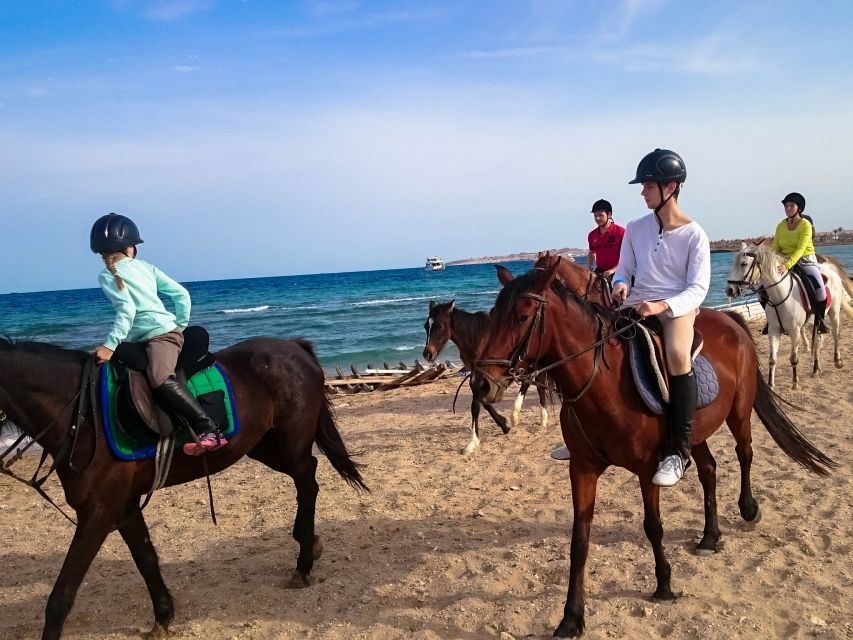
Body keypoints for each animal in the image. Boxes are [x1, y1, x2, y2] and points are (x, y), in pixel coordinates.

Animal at [0, 336, 368, 640]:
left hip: (292, 440)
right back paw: (307, 541)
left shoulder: (99, 513)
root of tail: (293, 346)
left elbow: (62, 595)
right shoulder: (125, 505)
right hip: (260, 445)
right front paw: (163, 617)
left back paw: (303, 563)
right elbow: (146, 559)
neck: (82, 415)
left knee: (306, 481)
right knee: (308, 476)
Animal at [422, 300, 549, 455]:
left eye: (440, 326)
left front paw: (472, 443)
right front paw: (504, 425)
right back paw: (516, 416)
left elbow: (476, 404)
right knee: (528, 383)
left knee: (539, 387)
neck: (478, 339)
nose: (428, 354)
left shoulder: (482, 378)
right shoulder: (479, 376)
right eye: (426, 326)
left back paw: (542, 419)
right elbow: (483, 401)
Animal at [471, 259, 835, 638]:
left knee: (745, 453)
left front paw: (664, 586)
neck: (602, 382)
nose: (480, 384)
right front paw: (571, 617)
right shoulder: (582, 469)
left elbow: (653, 526)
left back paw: (748, 509)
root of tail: (731, 322)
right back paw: (710, 536)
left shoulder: (647, 469)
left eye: (523, 316)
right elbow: (579, 541)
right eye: (493, 315)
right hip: (694, 433)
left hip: (738, 412)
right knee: (708, 470)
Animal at [725, 241, 853, 389]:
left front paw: (795, 383)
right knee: (817, 341)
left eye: (744, 263)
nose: (729, 290)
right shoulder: (773, 331)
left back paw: (837, 361)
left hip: (834, 312)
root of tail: (829, 270)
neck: (779, 295)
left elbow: (793, 358)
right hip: (814, 322)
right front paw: (771, 385)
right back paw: (815, 369)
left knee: (836, 334)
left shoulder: (795, 332)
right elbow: (772, 359)